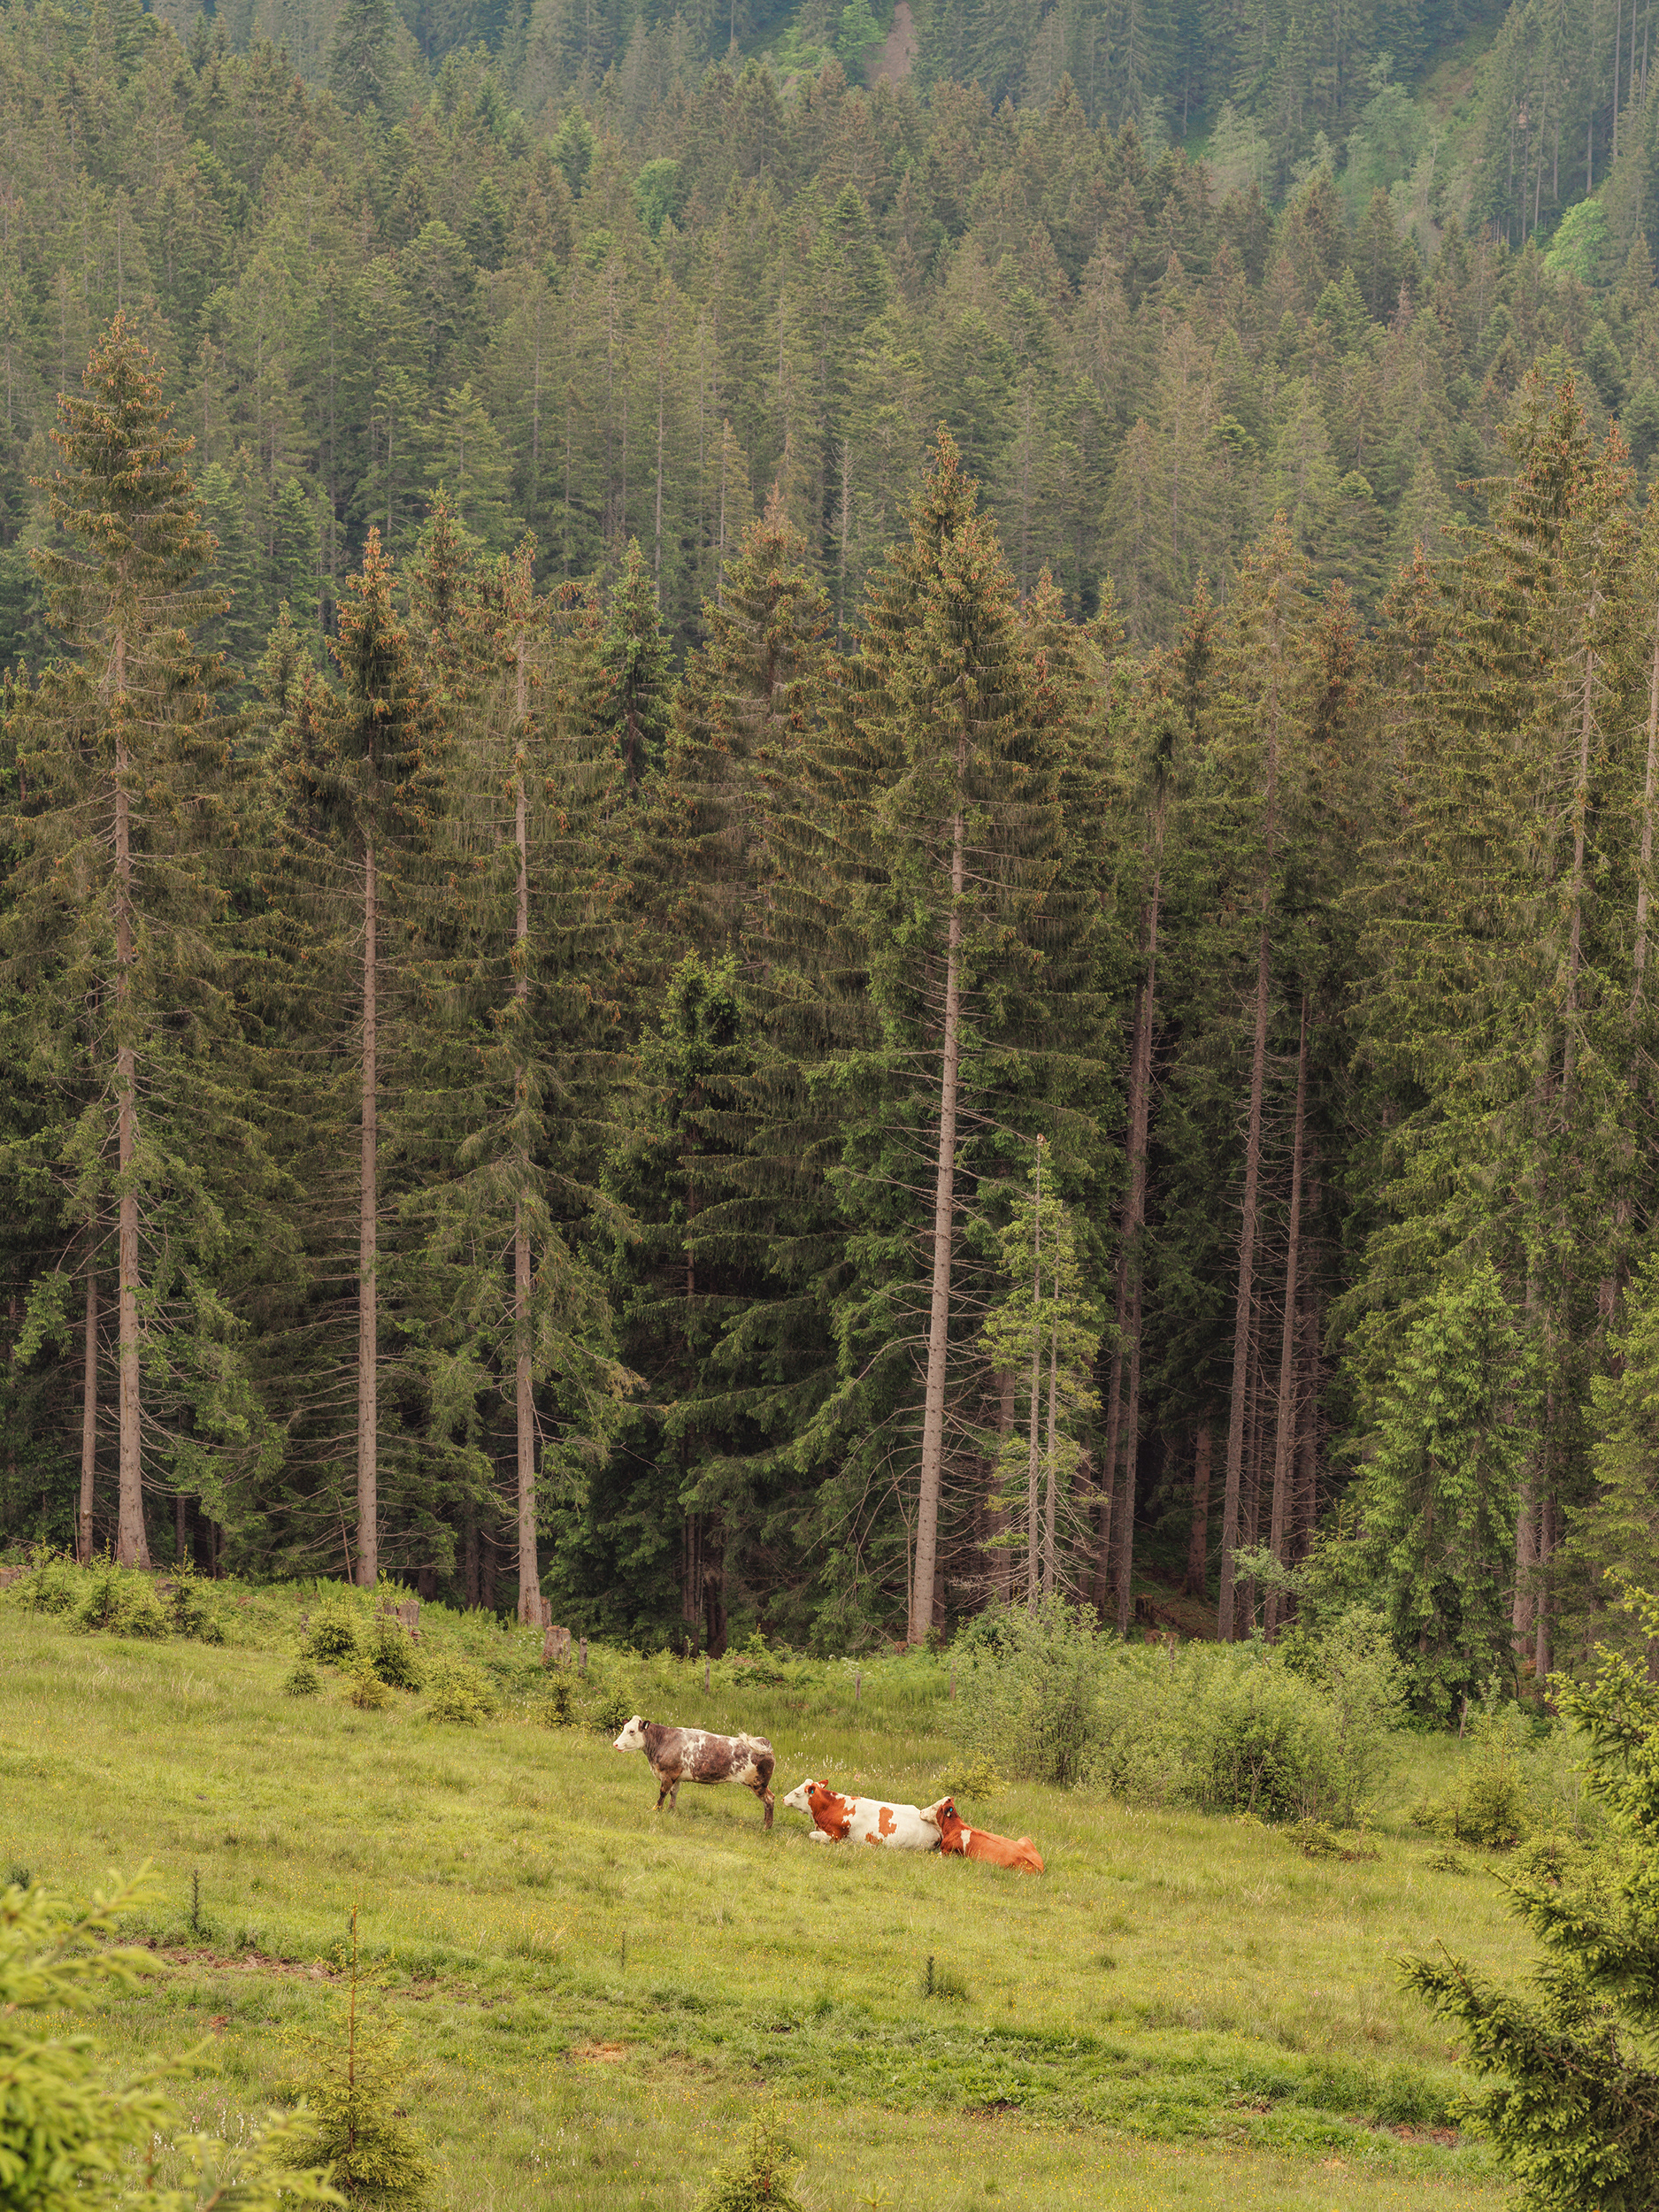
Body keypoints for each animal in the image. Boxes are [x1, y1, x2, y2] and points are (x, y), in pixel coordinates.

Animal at [612, 1716, 776, 1828]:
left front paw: (656, 1809)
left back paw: (766, 1827)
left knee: (769, 1799)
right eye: (624, 1728)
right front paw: (671, 1810)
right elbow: (673, 1793)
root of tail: (765, 1745)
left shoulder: (667, 1775)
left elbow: (663, 1792)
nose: (615, 1744)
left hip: (758, 1784)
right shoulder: (676, 1777)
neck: (662, 1742)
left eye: (632, 1731)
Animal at [919, 1796, 1044, 1872]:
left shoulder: (947, 1853)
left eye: (934, 1808)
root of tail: (1040, 1867)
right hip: (1025, 1839)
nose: (921, 1812)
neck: (955, 1828)